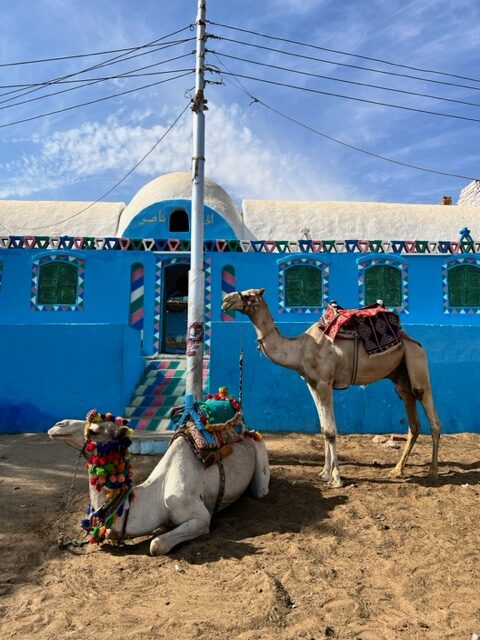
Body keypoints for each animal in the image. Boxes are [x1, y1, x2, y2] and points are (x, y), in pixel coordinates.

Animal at [48, 418, 270, 552]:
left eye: (94, 431)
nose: (58, 425)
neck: (156, 495)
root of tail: (248, 430)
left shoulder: (198, 515)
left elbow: (156, 545)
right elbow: (112, 532)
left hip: (259, 449)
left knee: (261, 490)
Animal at [220, 288, 438, 488]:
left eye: (249, 295)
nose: (225, 300)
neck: (300, 349)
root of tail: (413, 340)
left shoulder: (325, 382)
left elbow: (331, 431)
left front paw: (336, 479)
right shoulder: (312, 383)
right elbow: (324, 428)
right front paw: (325, 473)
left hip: (416, 364)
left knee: (431, 415)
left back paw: (433, 471)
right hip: (401, 379)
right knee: (413, 423)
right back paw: (397, 469)